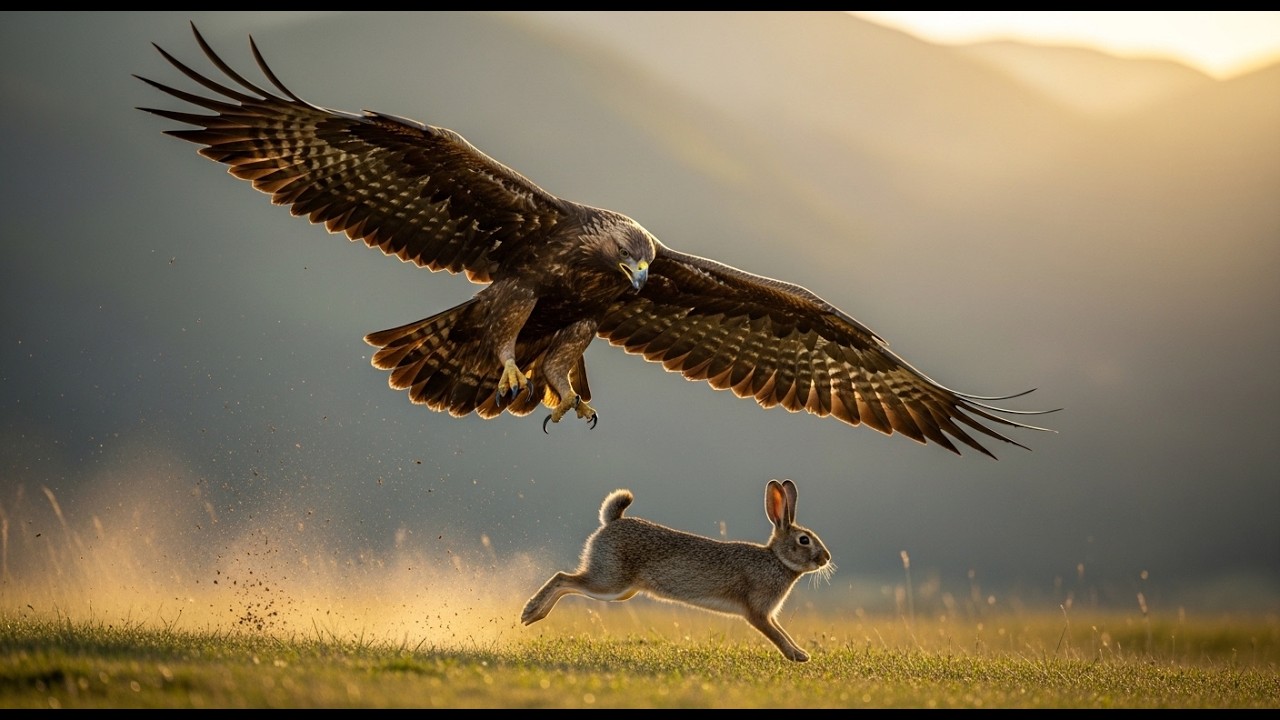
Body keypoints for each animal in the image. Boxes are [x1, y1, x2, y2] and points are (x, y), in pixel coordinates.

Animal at [521, 478, 834, 662]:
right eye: (804, 540)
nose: (826, 558)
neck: (777, 560)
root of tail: (611, 521)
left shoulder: (767, 613)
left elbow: (782, 631)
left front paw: (801, 653)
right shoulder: (758, 613)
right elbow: (777, 635)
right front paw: (798, 657)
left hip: (621, 590)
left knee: (567, 581)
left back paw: (534, 614)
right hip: (610, 582)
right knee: (563, 579)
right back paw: (531, 612)